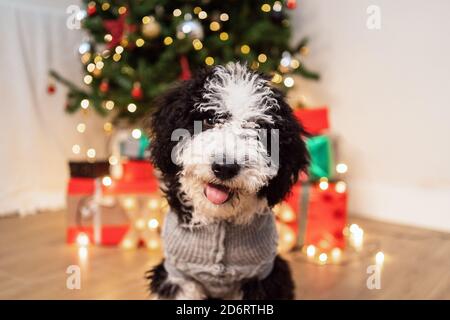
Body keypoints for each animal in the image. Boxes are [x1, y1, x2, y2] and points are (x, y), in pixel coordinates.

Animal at [146, 62, 308, 300]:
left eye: (259, 129)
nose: (225, 167)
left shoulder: (262, 277)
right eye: (210, 119)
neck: (220, 219)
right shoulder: (178, 276)